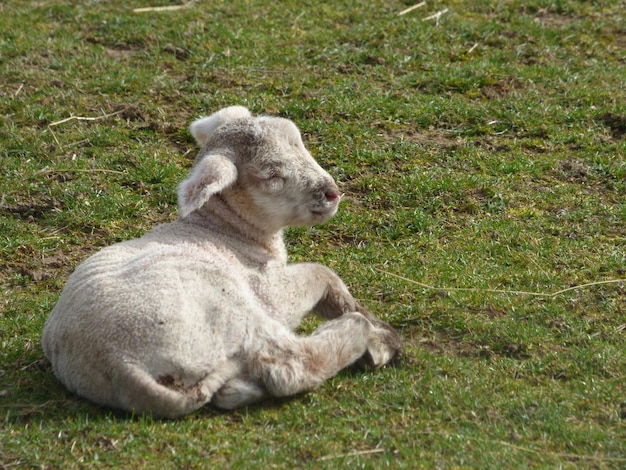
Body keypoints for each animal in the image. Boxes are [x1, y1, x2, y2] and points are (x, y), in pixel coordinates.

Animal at [41, 106, 400, 418]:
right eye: (271, 175)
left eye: (299, 142)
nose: (331, 193)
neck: (225, 230)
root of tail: (119, 365)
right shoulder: (269, 291)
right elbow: (322, 273)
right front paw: (367, 320)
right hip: (228, 312)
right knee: (288, 364)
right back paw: (366, 336)